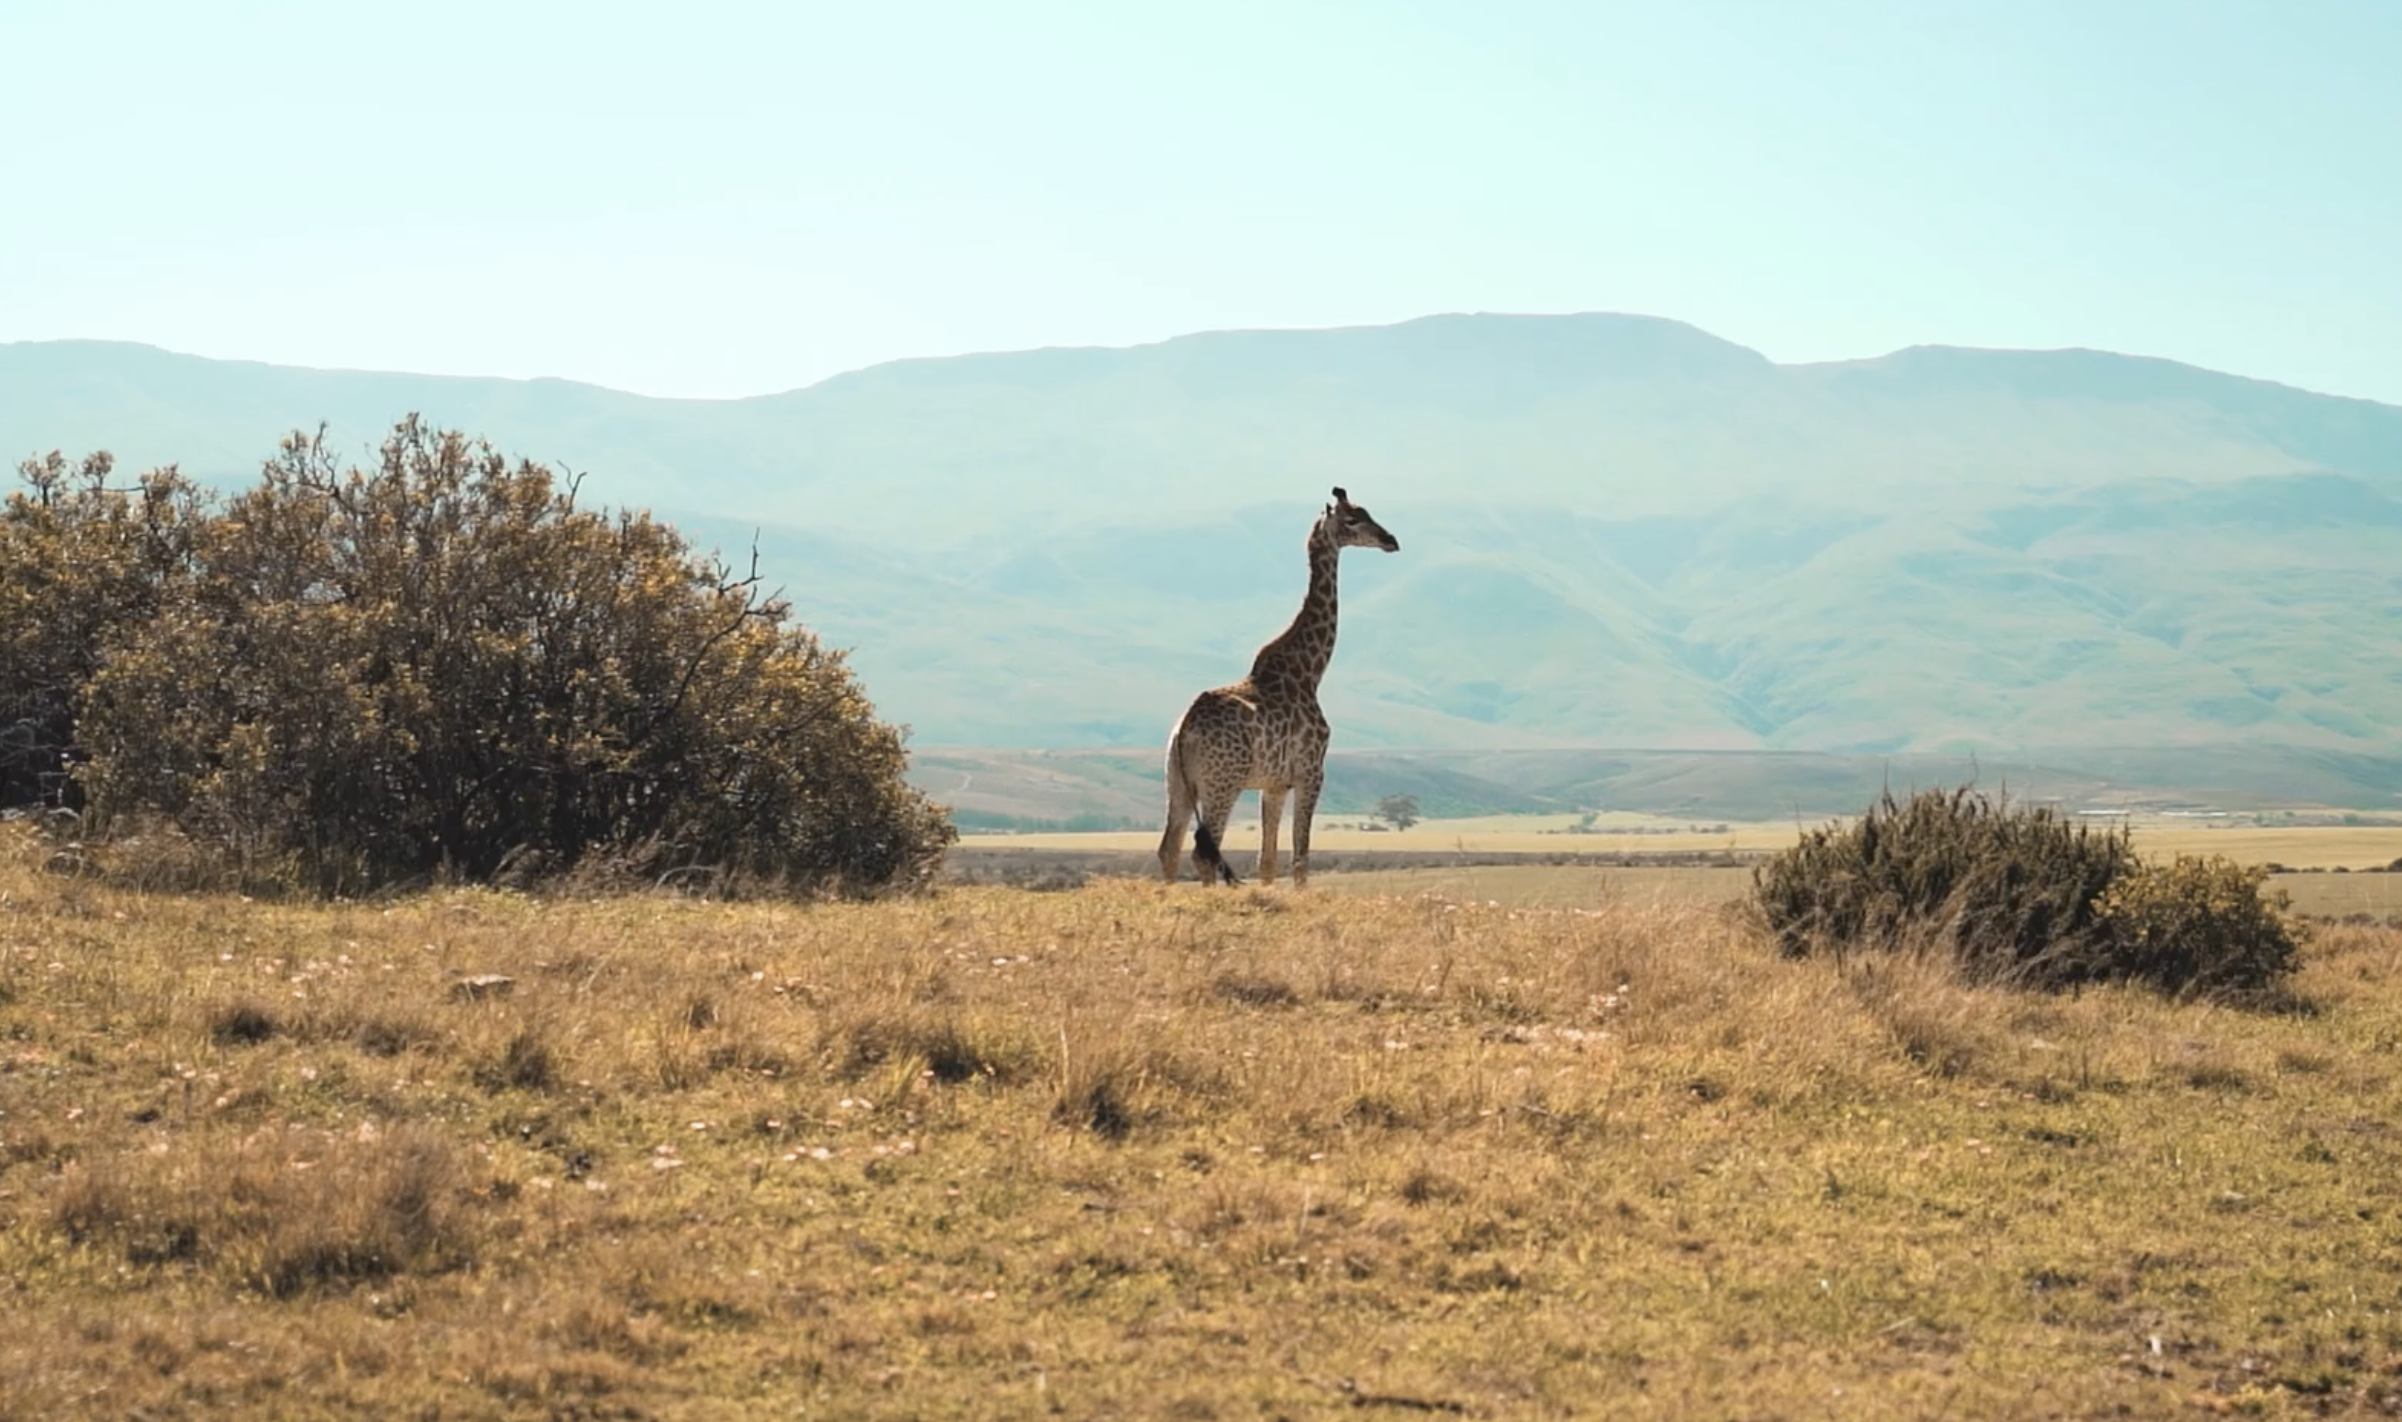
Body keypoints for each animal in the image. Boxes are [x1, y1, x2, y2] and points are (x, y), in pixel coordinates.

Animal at [1158, 487, 1399, 888]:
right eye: (1353, 519)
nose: (1390, 540)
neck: (1310, 672)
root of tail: (1183, 731)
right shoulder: (1311, 772)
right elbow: (1301, 857)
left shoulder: (1272, 784)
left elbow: (1267, 860)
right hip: (1222, 784)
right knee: (1204, 852)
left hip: (1178, 783)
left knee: (1169, 848)